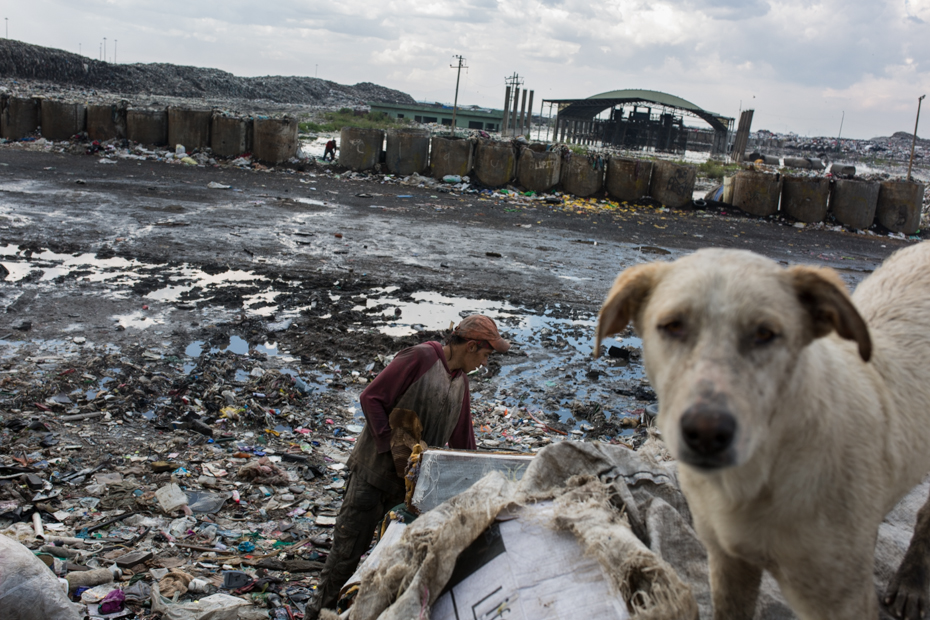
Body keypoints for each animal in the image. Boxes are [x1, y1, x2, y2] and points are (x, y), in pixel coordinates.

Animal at [600, 243, 928, 620]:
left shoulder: (841, 599)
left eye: (765, 334)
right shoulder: (726, 560)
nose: (706, 434)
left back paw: (911, 585)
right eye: (673, 326)